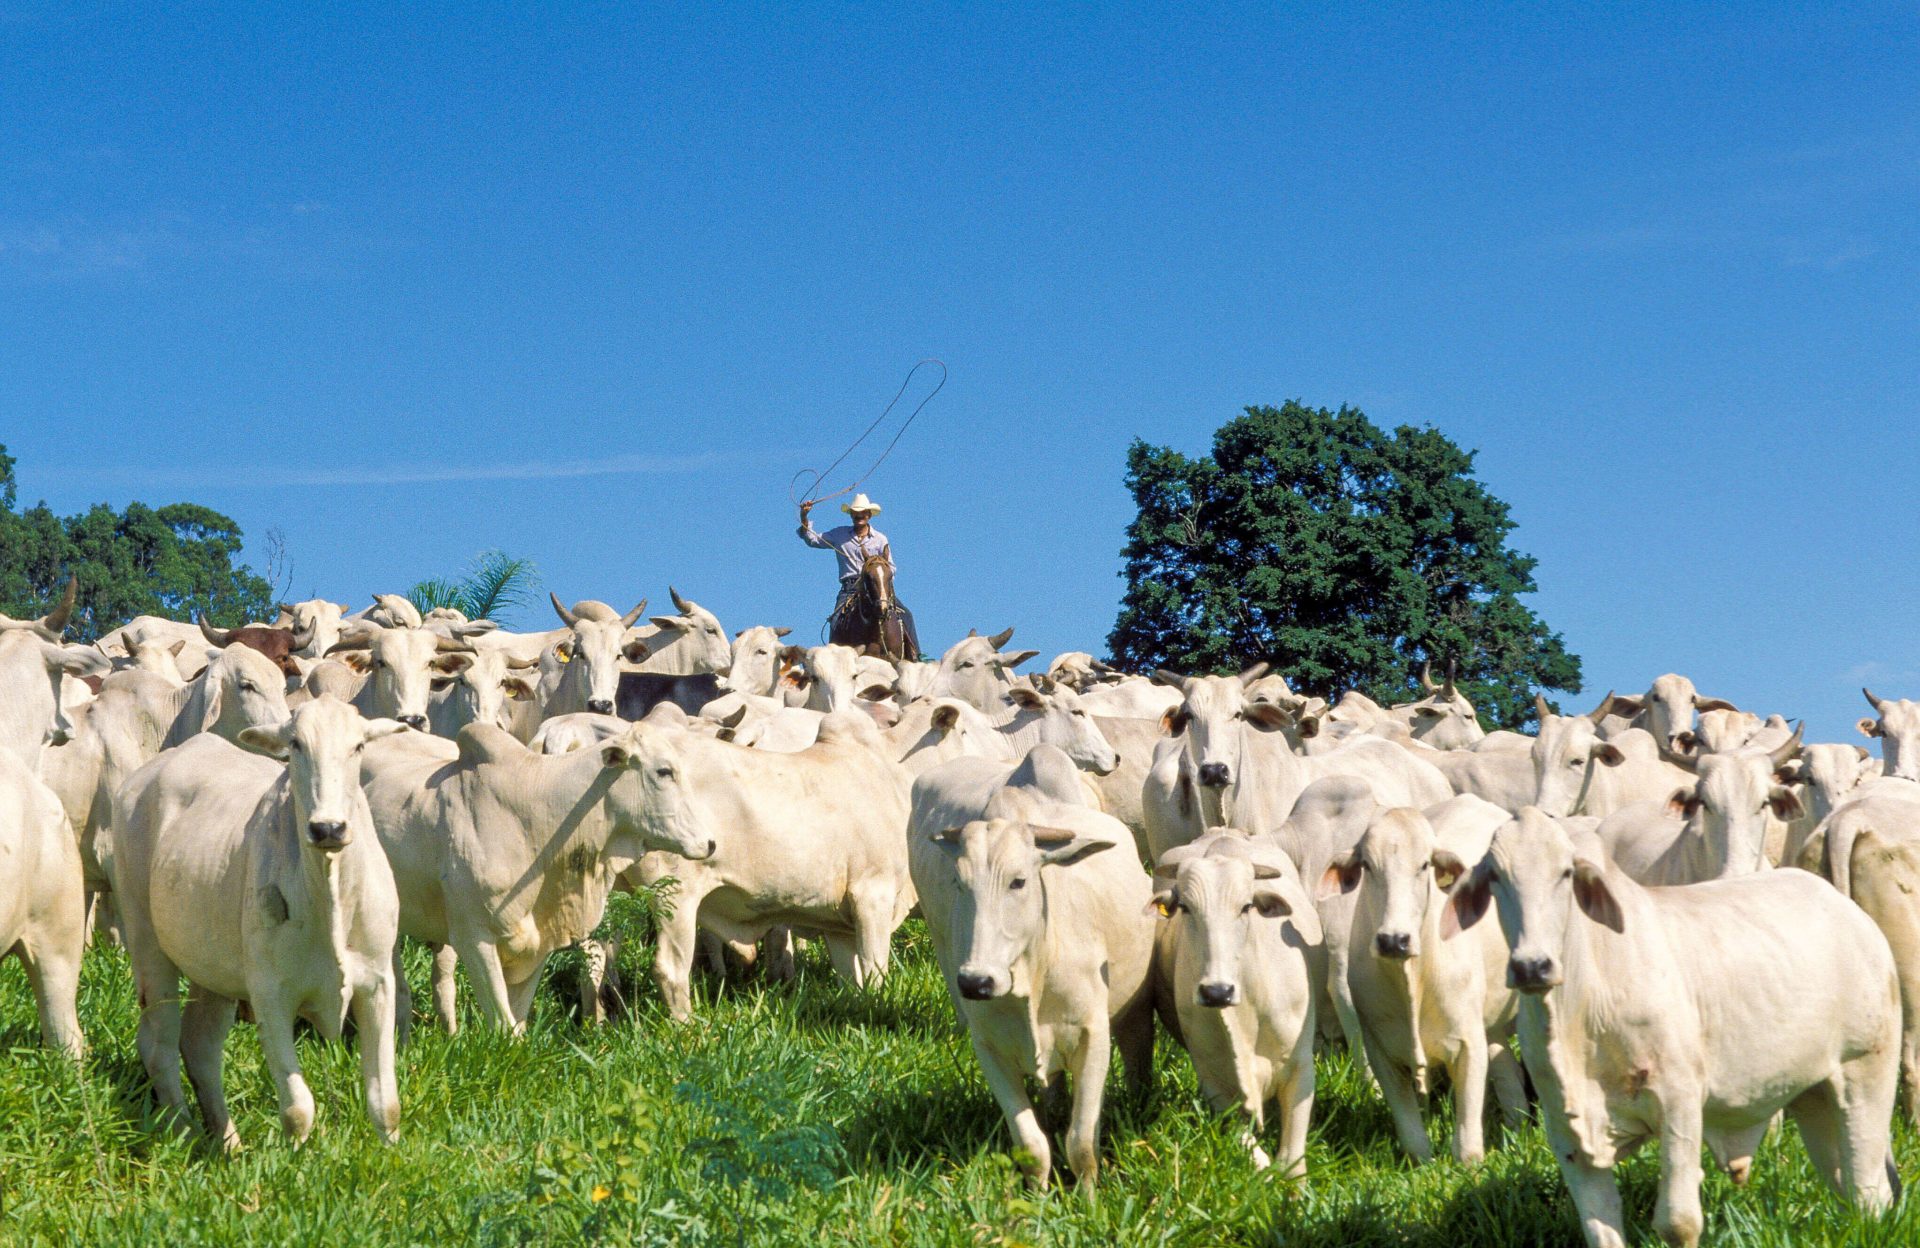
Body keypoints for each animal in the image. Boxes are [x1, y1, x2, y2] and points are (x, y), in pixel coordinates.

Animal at [111, 697, 411, 1147]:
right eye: (296, 745)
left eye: (358, 746)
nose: (328, 827)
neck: (330, 888)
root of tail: (140, 780)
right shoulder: (271, 994)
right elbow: (298, 1109)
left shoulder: (377, 982)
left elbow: (385, 1103)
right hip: (147, 942)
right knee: (158, 1044)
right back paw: (185, 1132)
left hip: (213, 970)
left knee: (198, 1045)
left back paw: (228, 1144)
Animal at [909, 795, 1154, 1189]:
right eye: (959, 882)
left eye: (1019, 881)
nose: (976, 982)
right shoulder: (990, 1049)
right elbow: (1031, 1146)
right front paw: (1037, 1197)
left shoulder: (1094, 1038)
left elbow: (1081, 1144)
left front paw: (1088, 1197)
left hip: (1137, 1009)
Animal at [1150, 830, 1319, 1175]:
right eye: (1185, 907)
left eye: (1246, 907)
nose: (1217, 992)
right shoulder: (1214, 1083)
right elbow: (1254, 1153)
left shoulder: (1302, 1067)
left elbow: (1291, 1162)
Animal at [1319, 799, 1523, 1164]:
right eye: (1367, 865)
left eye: (1424, 864)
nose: (1394, 940)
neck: (1413, 978)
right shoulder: (1381, 1050)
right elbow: (1412, 1134)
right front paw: (1422, 1162)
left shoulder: (1468, 1044)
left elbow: (1467, 1141)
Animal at [1446, 808, 1902, 1248]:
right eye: (1495, 876)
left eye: (1566, 873)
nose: (1532, 966)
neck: (1579, 1009)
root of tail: (1855, 918)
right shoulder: (1565, 1130)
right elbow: (1600, 1228)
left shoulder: (1678, 1102)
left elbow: (1678, 1223)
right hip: (1813, 1094)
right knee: (1842, 1183)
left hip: (1866, 1072)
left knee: (1869, 1191)